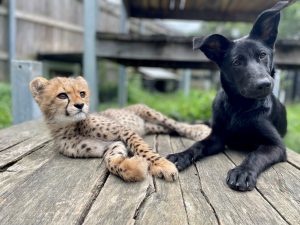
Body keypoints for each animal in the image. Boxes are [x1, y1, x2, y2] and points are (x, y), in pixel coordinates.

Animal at [166, 1, 290, 192]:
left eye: (262, 55)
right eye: (237, 62)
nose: (264, 84)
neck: (239, 106)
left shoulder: (276, 145)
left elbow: (256, 154)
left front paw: (242, 171)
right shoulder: (217, 138)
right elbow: (198, 144)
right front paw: (182, 155)